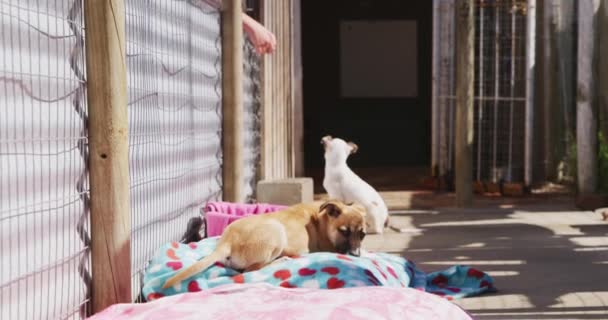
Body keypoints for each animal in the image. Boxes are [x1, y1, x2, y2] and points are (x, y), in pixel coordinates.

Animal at [162, 200, 366, 290]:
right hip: (277, 232)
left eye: (363, 234)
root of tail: (226, 241)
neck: (323, 219)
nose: (356, 255)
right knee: (251, 270)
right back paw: (281, 260)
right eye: (344, 231)